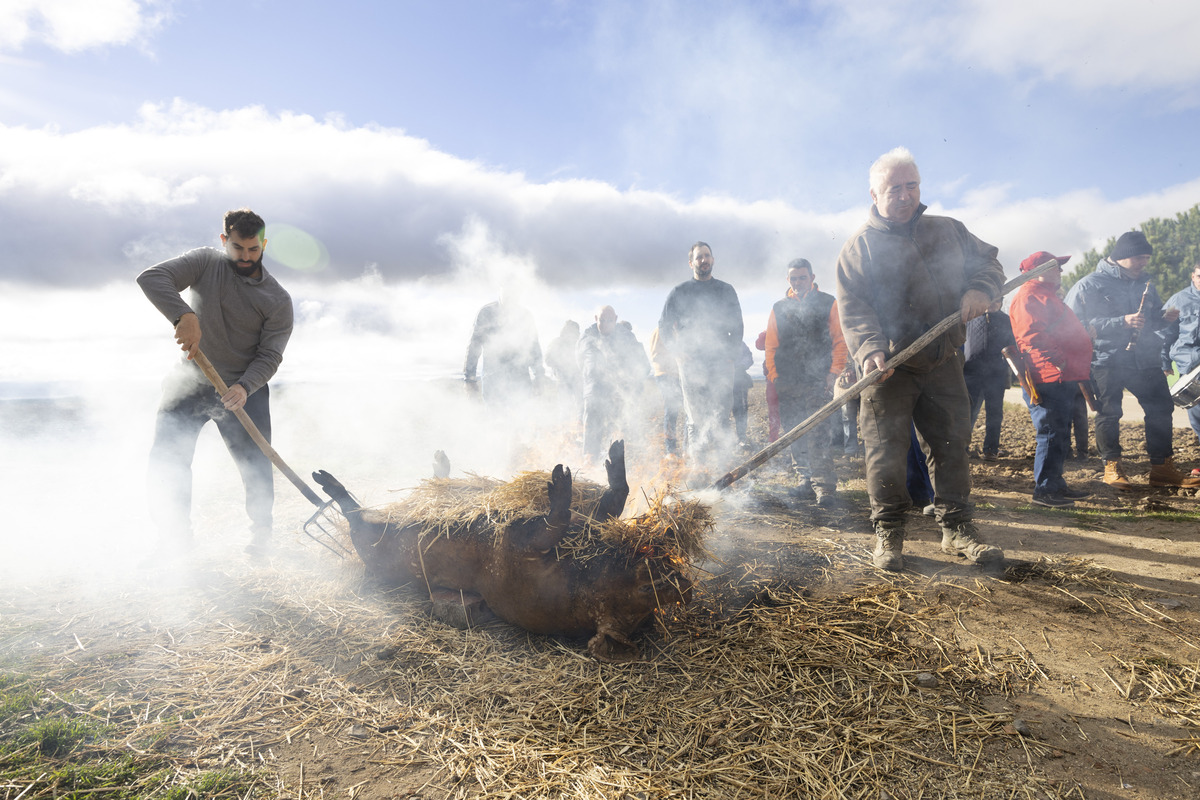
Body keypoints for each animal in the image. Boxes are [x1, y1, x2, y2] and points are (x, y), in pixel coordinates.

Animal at [314, 441, 705, 662]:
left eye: (648, 591)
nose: (682, 580)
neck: (583, 579)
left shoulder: (521, 551)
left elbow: (554, 522)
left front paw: (560, 482)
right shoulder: (575, 525)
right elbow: (610, 502)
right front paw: (608, 457)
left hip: (372, 540)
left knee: (354, 515)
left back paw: (326, 482)